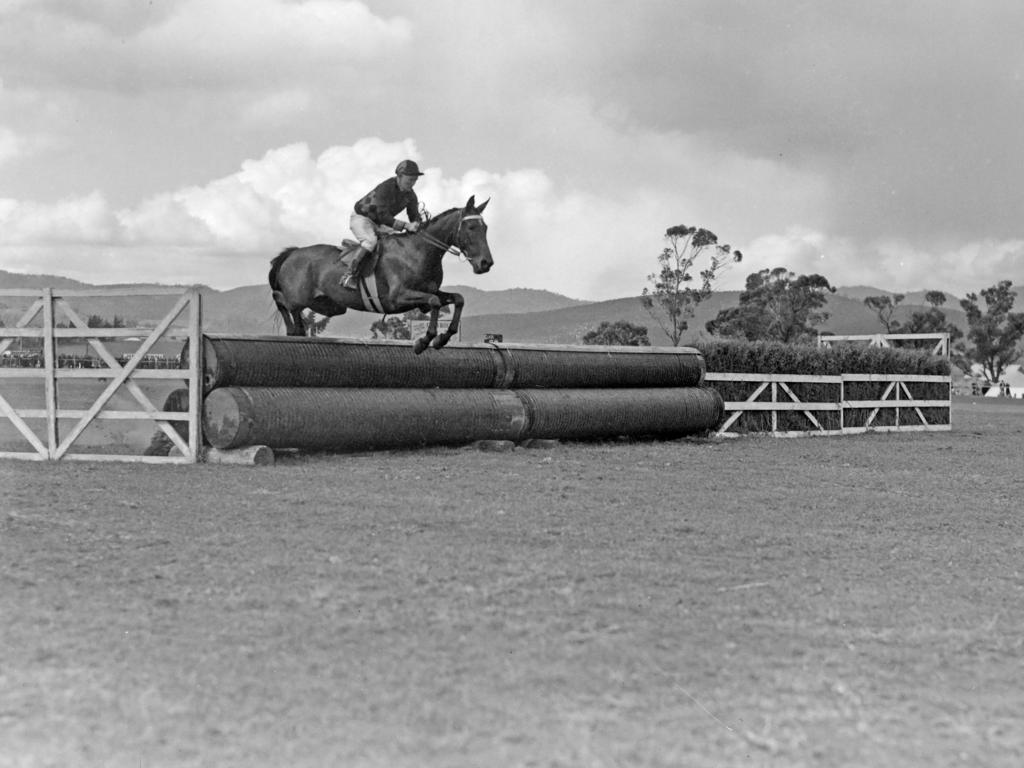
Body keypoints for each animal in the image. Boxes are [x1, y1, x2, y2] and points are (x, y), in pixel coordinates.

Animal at [268, 198, 491, 354]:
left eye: (486, 228)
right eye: (471, 227)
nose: (486, 263)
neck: (420, 251)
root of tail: (292, 252)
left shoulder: (427, 295)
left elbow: (457, 299)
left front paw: (442, 339)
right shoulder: (397, 298)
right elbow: (435, 302)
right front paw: (424, 341)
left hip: (330, 305)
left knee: (293, 309)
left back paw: (295, 330)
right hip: (300, 297)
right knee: (282, 300)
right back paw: (292, 329)